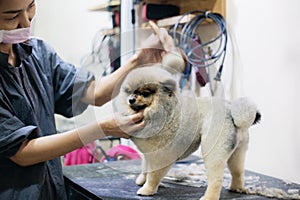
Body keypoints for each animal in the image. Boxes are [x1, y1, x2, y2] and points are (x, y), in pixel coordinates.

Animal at [112, 65, 260, 199]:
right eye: (130, 92)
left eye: (145, 93)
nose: (131, 99)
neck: (168, 111)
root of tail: (232, 112)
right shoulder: (148, 153)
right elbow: (145, 168)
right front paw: (142, 180)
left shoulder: (160, 155)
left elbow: (153, 175)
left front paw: (147, 189)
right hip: (238, 150)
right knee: (238, 171)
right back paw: (237, 188)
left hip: (214, 149)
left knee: (216, 178)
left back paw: (209, 197)